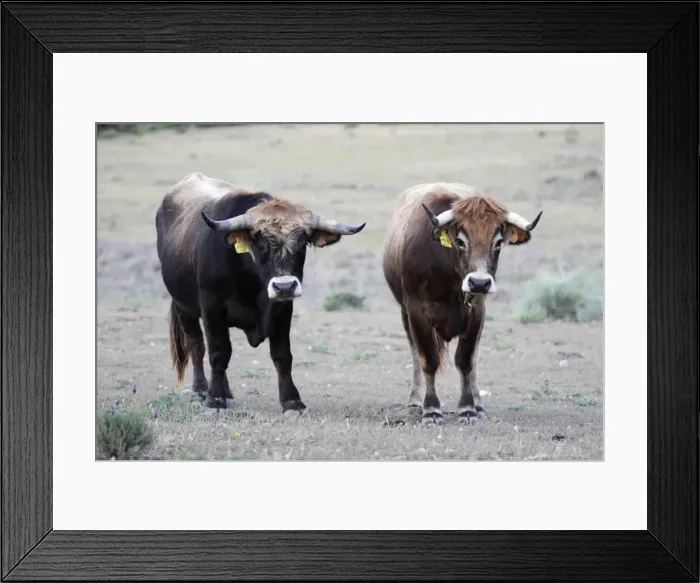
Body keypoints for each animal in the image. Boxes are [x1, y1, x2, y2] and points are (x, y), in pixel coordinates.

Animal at [155, 172, 366, 413]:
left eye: (302, 243)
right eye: (261, 244)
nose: (284, 286)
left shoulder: (283, 309)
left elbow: (282, 355)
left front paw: (292, 401)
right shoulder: (212, 307)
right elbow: (218, 352)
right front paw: (215, 399)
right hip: (184, 308)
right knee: (197, 346)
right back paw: (202, 389)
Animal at [382, 183, 542, 425]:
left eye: (498, 242)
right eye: (460, 241)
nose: (480, 282)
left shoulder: (476, 313)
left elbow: (466, 360)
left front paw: (468, 408)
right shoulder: (416, 312)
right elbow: (428, 359)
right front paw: (431, 409)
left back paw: (479, 405)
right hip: (404, 314)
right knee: (415, 353)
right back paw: (414, 401)